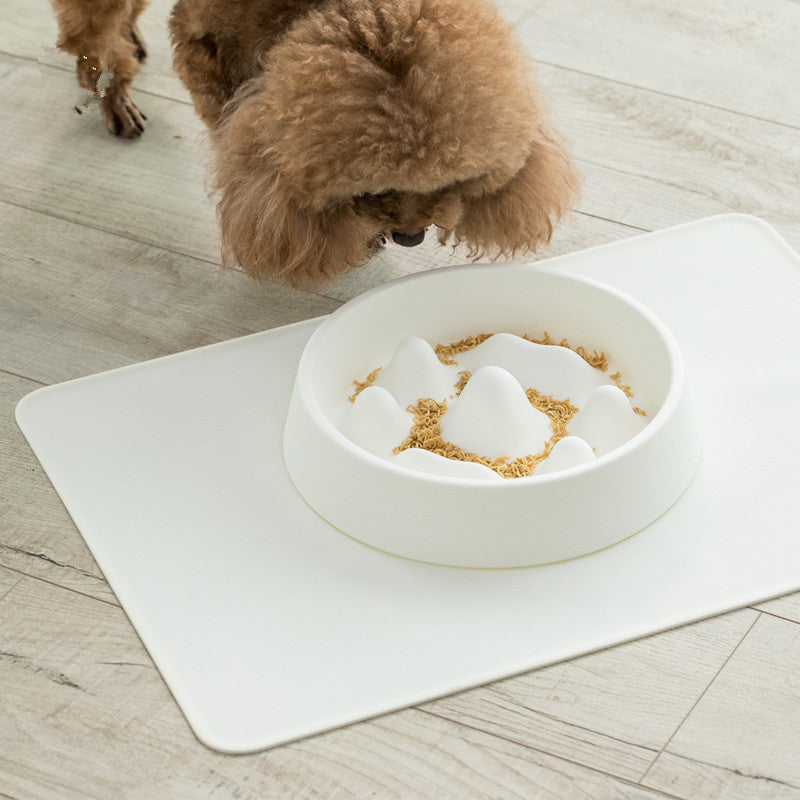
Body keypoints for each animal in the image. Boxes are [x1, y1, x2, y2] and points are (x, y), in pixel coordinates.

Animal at [50, 0, 580, 286]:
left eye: (444, 183)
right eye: (373, 189)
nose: (410, 238)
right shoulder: (205, 47)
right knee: (94, 36)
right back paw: (113, 94)